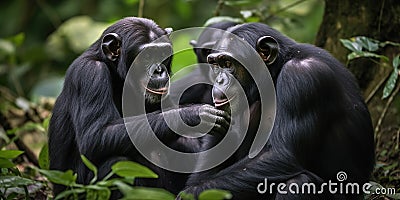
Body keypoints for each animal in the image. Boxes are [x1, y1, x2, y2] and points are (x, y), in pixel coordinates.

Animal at [48, 16, 230, 197]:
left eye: (162, 54)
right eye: (147, 55)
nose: (159, 70)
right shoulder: (90, 73)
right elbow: (95, 134)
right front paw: (196, 114)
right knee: (116, 161)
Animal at [180, 22, 376, 199]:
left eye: (227, 63)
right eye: (215, 65)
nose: (219, 80)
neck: (278, 68)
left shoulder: (301, 77)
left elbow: (281, 155)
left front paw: (188, 194)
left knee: (298, 183)